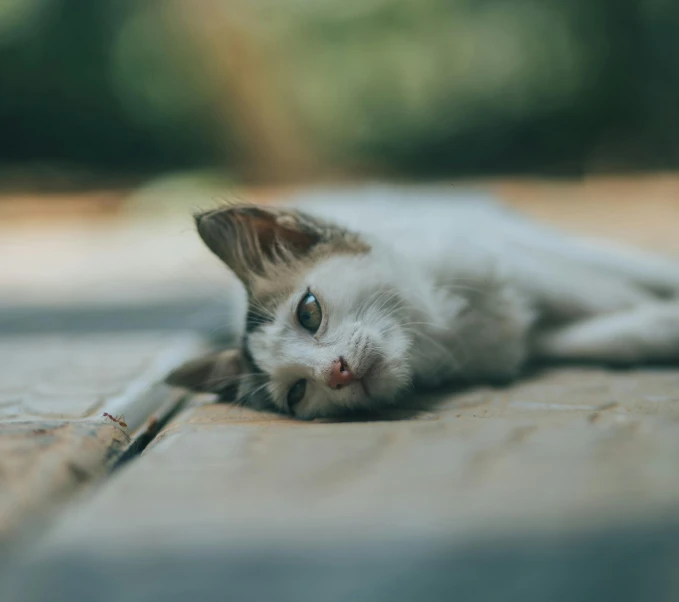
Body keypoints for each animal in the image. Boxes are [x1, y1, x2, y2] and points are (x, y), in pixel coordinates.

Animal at [165, 184, 679, 418]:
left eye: (308, 312)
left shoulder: (522, 263)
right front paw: (659, 326)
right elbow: (613, 337)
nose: (337, 372)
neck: (441, 331)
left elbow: (612, 289)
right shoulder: (517, 342)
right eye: (297, 392)